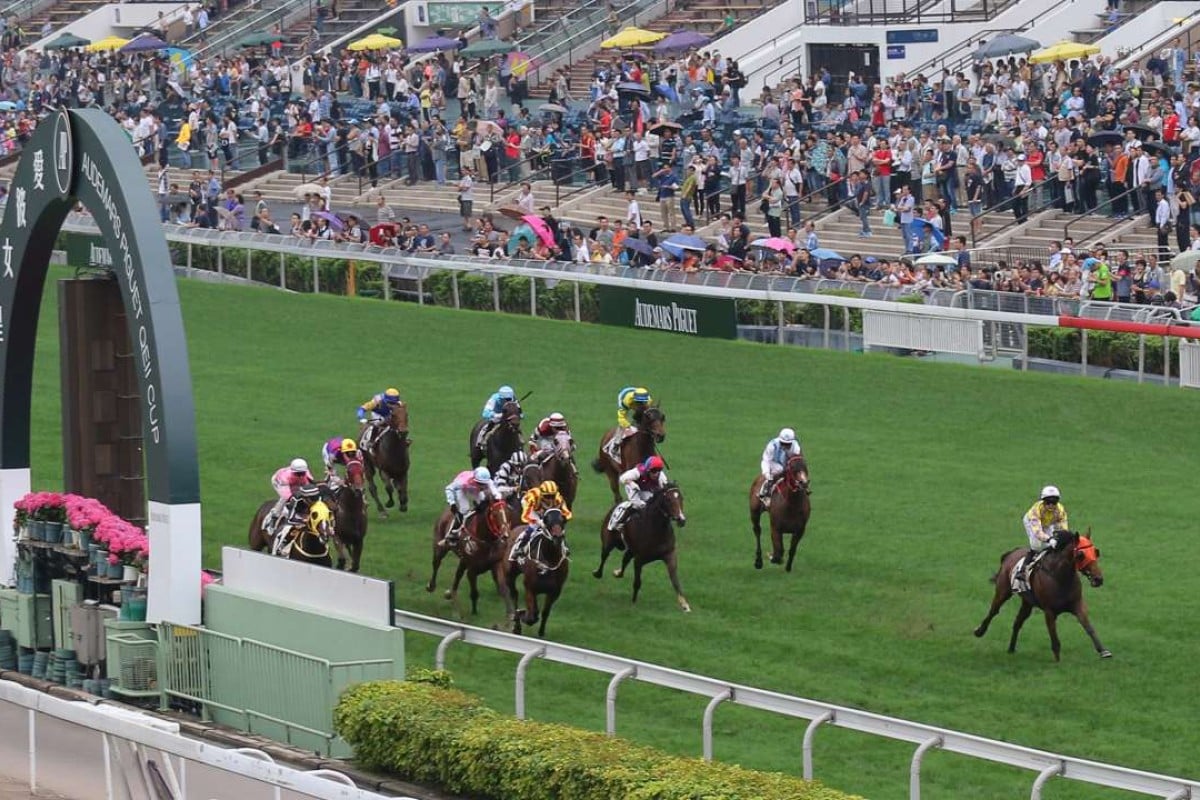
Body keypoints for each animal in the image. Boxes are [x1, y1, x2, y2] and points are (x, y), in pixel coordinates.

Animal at [499, 506, 568, 638]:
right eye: (547, 520)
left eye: (562, 520)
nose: (557, 537)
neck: (549, 561)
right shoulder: (530, 588)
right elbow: (532, 615)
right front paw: (522, 615)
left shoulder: (555, 591)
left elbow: (545, 612)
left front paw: (541, 632)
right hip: (509, 575)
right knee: (514, 595)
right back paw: (517, 624)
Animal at [592, 482, 691, 614]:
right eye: (669, 500)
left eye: (681, 498)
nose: (681, 520)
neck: (656, 529)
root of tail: (616, 506)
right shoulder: (639, 560)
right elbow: (637, 582)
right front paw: (633, 602)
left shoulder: (670, 555)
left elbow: (675, 581)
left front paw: (684, 604)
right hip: (608, 541)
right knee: (604, 555)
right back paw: (597, 573)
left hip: (630, 550)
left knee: (625, 559)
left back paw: (618, 573)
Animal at [969, 532, 1108, 662]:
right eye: (1081, 555)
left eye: (1096, 552)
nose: (1098, 579)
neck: (1060, 577)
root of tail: (1011, 553)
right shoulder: (1049, 611)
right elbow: (1054, 638)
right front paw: (1058, 662)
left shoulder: (1077, 605)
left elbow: (1088, 627)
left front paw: (1103, 651)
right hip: (1003, 592)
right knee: (994, 610)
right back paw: (979, 631)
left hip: (1027, 603)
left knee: (1017, 622)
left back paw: (1011, 649)